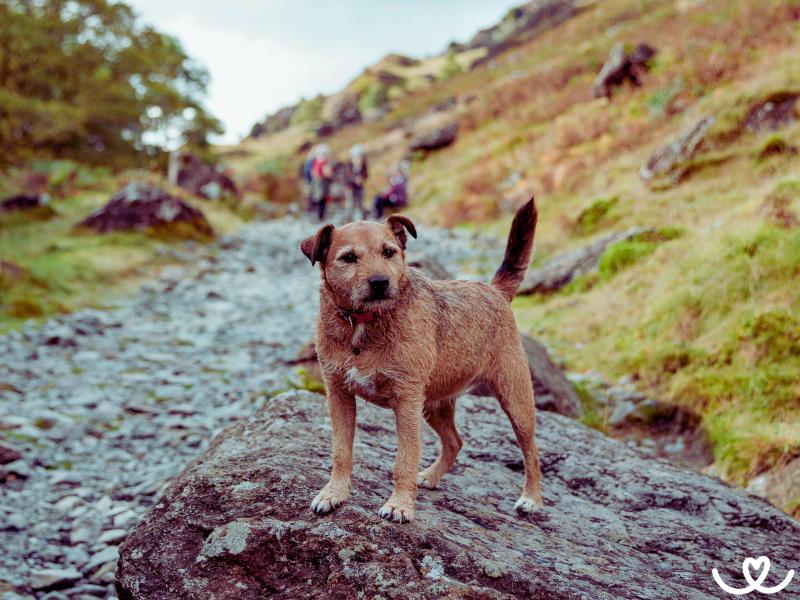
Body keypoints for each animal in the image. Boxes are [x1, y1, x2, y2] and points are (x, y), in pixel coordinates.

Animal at [302, 199, 544, 524]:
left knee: (531, 451)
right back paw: (430, 476)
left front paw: (400, 505)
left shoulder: (406, 402)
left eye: (389, 252)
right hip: (434, 405)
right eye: (349, 258)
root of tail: (494, 289)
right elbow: (341, 452)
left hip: (515, 400)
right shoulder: (339, 396)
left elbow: (404, 459)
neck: (364, 324)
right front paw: (334, 493)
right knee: (455, 441)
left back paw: (531, 499)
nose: (380, 282)